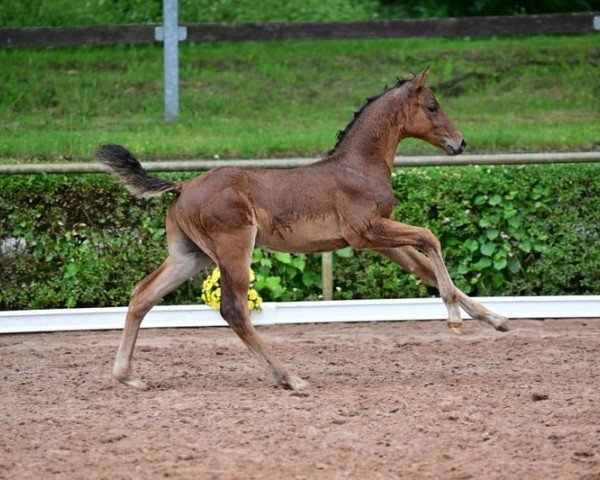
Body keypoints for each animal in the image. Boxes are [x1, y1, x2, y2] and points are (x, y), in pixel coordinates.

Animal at [97, 66, 510, 390]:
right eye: (432, 106)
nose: (460, 142)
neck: (358, 166)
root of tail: (182, 185)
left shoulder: (380, 240)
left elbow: (424, 265)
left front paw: (498, 320)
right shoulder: (367, 232)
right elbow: (431, 237)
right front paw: (454, 320)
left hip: (190, 256)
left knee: (142, 294)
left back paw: (127, 376)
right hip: (233, 250)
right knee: (233, 309)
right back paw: (289, 377)